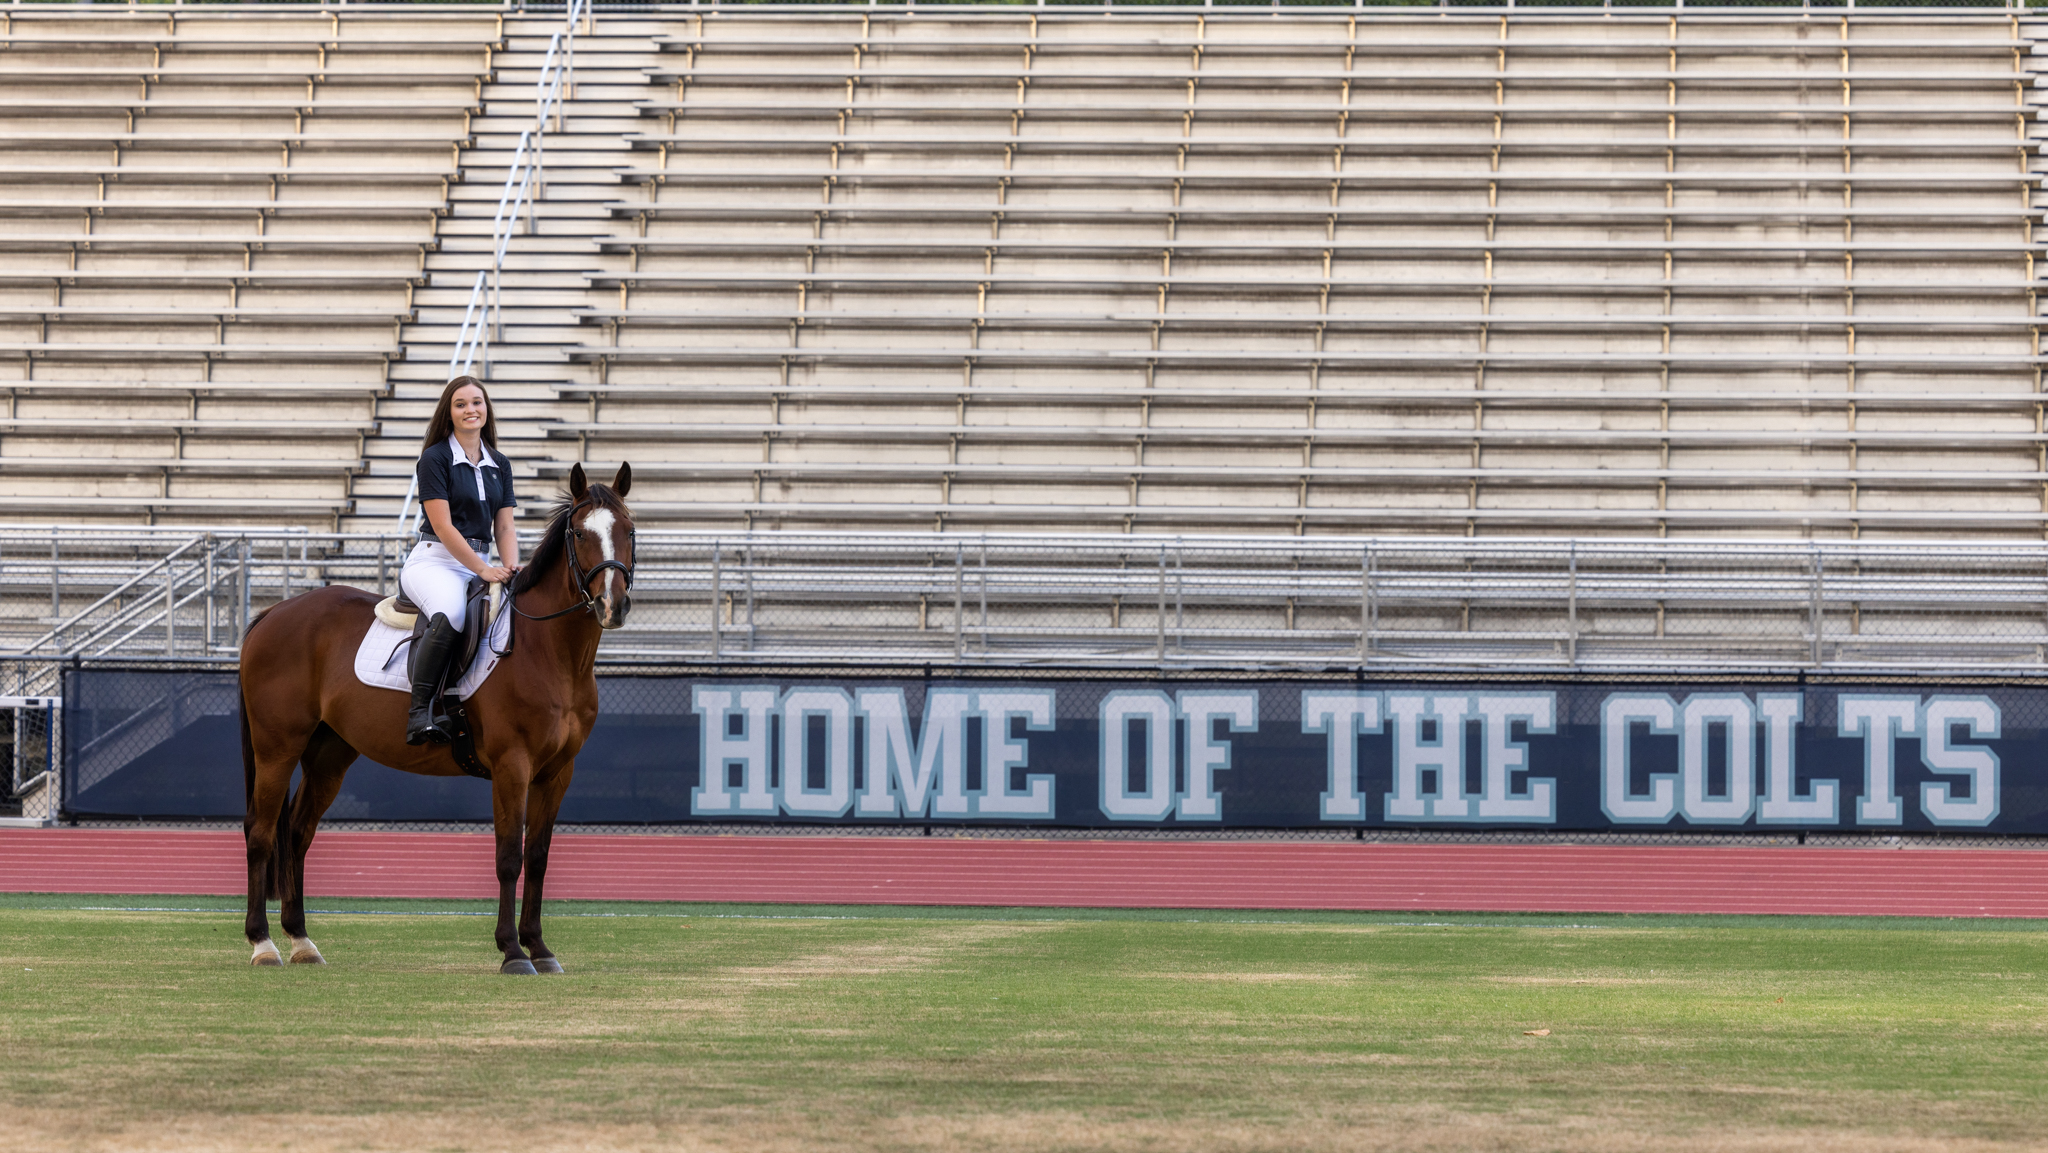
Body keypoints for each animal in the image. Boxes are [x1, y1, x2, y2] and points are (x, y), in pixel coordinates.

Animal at [236, 460, 630, 974]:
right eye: (581, 534)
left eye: (629, 530)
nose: (612, 605)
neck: (547, 651)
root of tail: (273, 613)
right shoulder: (513, 767)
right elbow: (509, 857)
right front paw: (512, 951)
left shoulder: (557, 772)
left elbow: (539, 857)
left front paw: (539, 948)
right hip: (277, 748)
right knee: (261, 832)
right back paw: (263, 943)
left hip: (328, 754)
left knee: (298, 833)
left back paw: (301, 940)